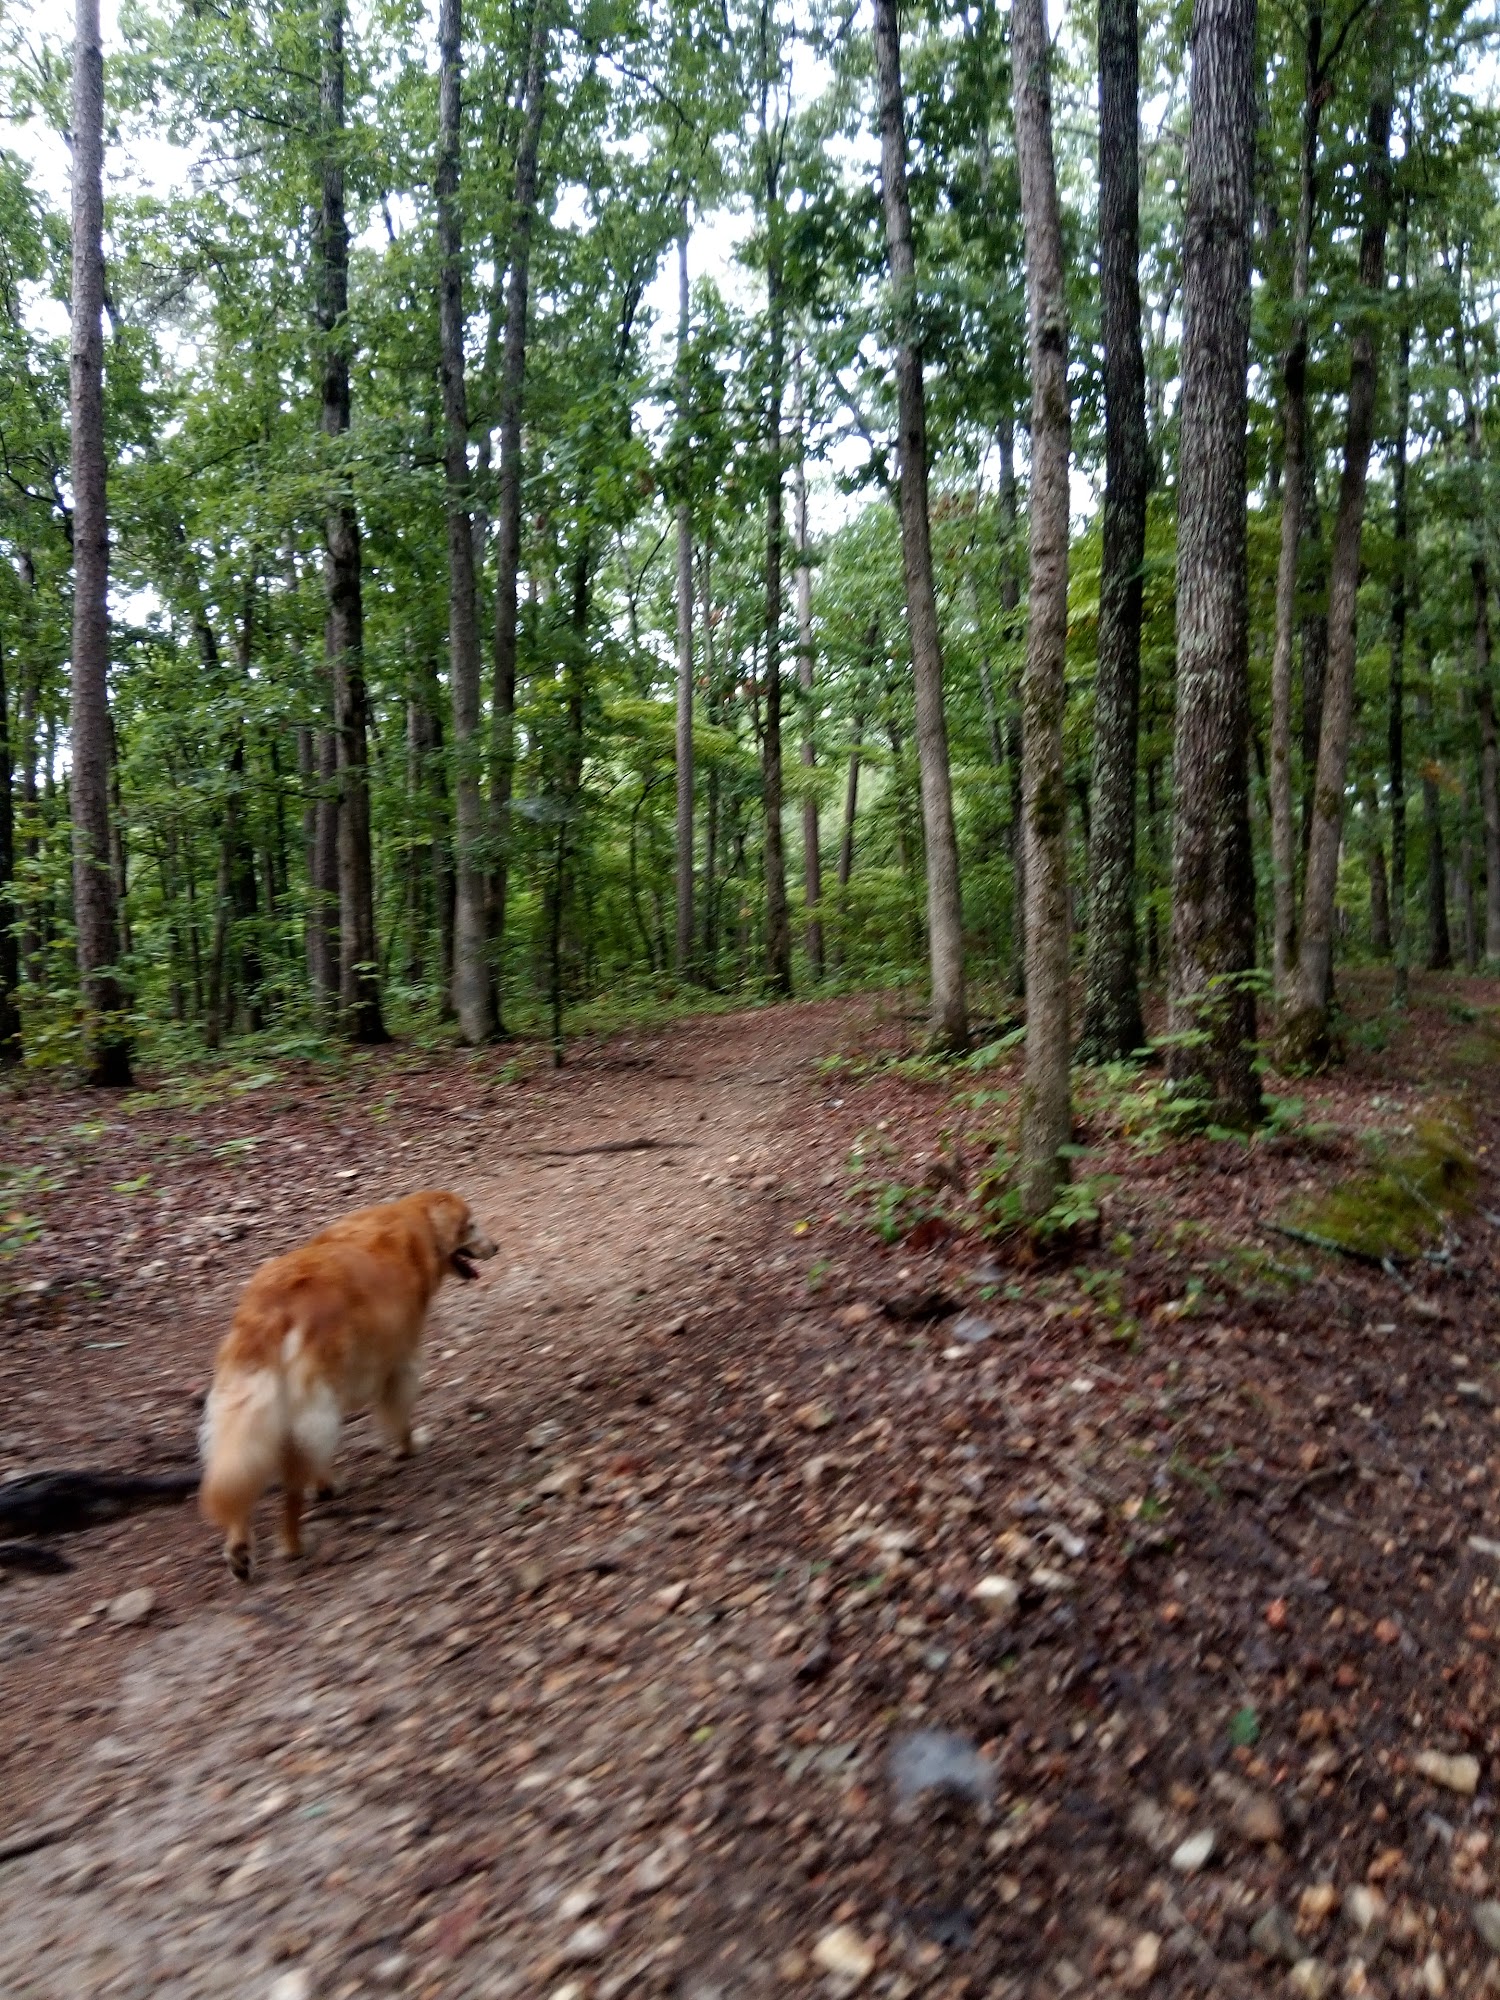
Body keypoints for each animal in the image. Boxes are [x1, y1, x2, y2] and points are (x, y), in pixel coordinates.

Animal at [199, 1190, 497, 1580]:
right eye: (471, 1224)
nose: (496, 1246)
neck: (415, 1224)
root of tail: (275, 1309)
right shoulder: (402, 1362)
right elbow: (400, 1416)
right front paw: (408, 1447)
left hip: (245, 1411)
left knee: (236, 1478)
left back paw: (240, 1549)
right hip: (311, 1409)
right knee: (291, 1491)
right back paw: (294, 1544)